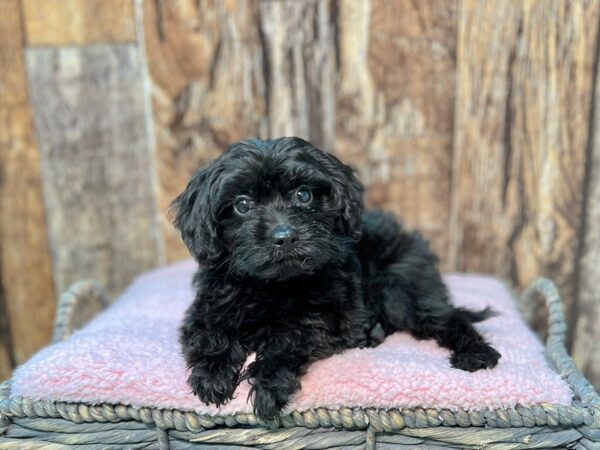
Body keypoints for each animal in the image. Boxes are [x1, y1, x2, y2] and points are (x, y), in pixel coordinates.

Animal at [171, 136, 500, 418]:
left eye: (304, 195)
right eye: (242, 204)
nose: (285, 237)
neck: (273, 285)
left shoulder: (327, 319)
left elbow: (288, 340)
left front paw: (268, 386)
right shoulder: (206, 307)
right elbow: (211, 334)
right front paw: (212, 377)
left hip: (401, 287)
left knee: (447, 318)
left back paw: (476, 354)